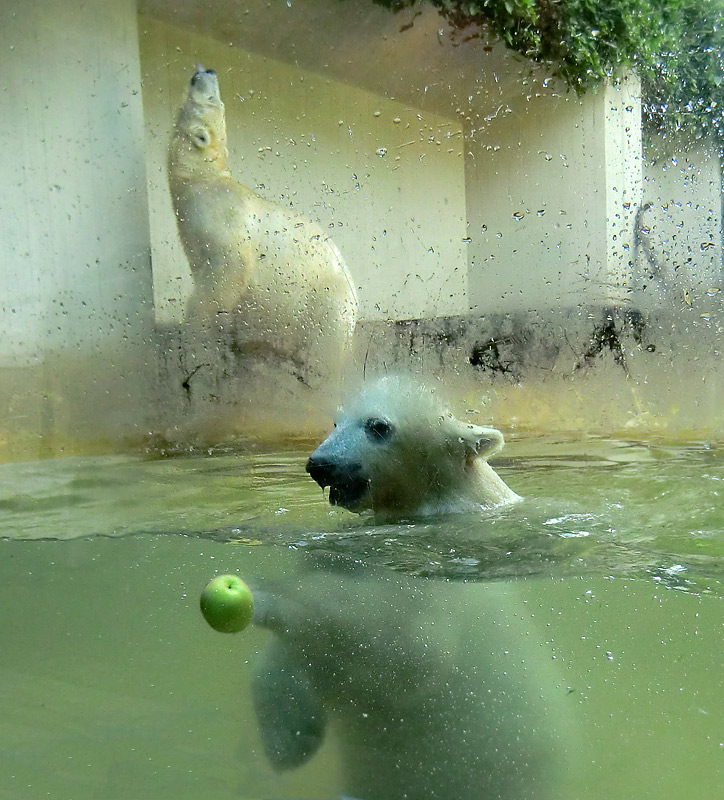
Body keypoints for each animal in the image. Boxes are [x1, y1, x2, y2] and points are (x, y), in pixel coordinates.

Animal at [165, 67, 356, 386]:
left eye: (212, 99)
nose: (208, 70)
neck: (201, 179)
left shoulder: (219, 216)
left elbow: (232, 269)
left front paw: (195, 330)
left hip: (327, 303)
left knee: (322, 341)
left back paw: (305, 371)